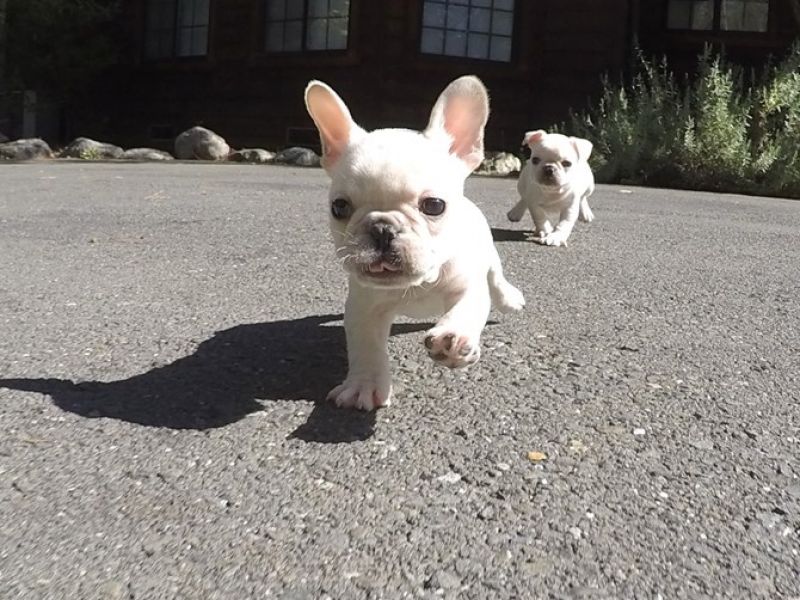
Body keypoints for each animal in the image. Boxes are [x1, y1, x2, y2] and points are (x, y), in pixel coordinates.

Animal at [304, 75, 525, 411]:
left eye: (434, 205)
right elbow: (366, 346)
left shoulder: (467, 285)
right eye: (339, 207)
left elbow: (466, 308)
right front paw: (364, 385)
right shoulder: (365, 307)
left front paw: (453, 338)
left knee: (496, 279)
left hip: (489, 254)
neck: (419, 283)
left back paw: (509, 297)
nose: (382, 229)